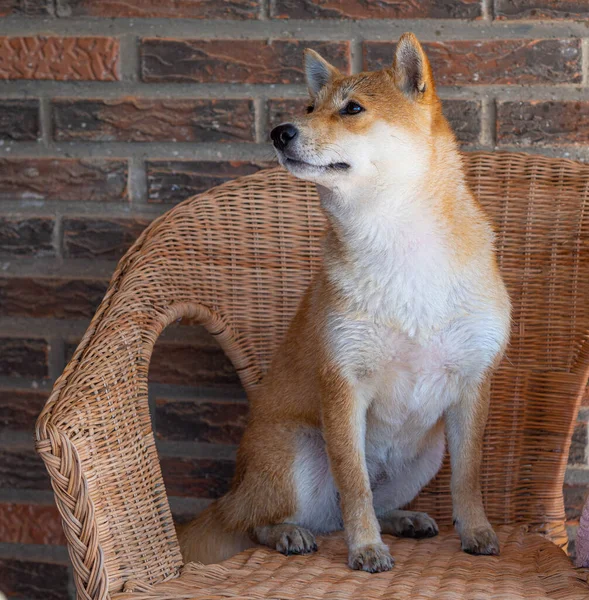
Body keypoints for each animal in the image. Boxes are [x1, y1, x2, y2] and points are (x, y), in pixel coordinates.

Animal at [179, 31, 510, 572]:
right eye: (310, 107)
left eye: (352, 108)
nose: (280, 132)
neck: (400, 247)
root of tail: (232, 491)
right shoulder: (343, 381)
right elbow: (354, 485)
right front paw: (366, 548)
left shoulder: (471, 384)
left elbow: (469, 477)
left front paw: (477, 531)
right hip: (295, 454)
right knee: (261, 523)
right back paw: (289, 533)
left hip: (425, 454)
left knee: (367, 503)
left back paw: (402, 518)